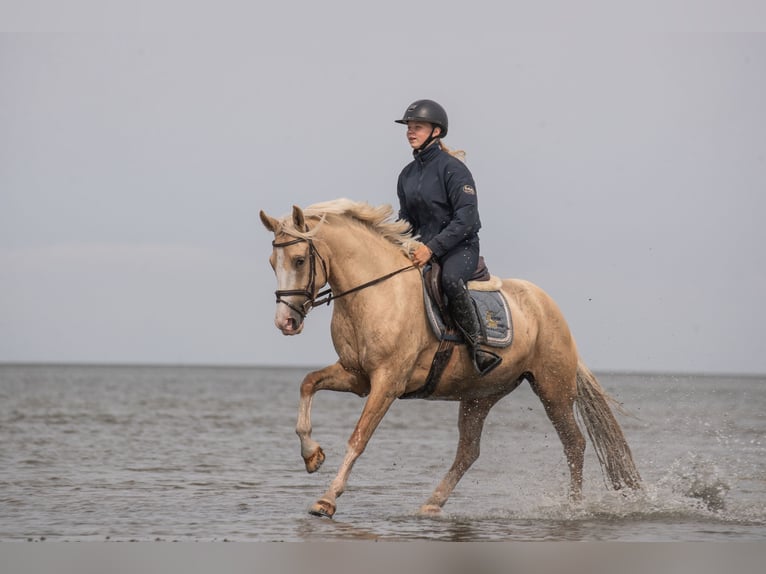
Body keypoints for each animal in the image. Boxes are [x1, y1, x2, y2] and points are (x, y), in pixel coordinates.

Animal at [260, 200, 640, 520]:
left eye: (299, 260)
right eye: (272, 263)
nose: (285, 322)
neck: (376, 294)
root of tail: (549, 308)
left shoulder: (387, 382)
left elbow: (358, 438)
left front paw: (326, 499)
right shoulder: (356, 377)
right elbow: (307, 383)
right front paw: (312, 455)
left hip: (553, 389)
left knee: (574, 443)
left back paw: (573, 507)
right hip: (480, 395)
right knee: (469, 451)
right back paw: (431, 504)